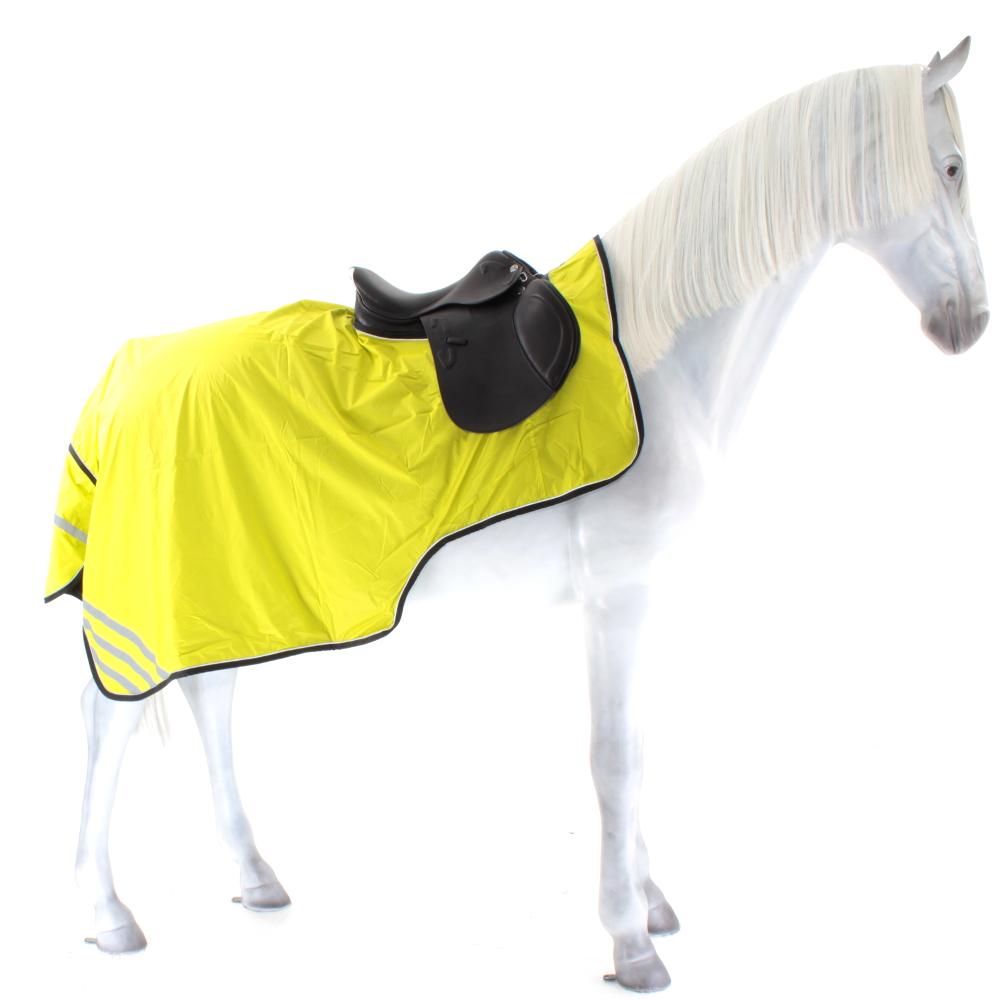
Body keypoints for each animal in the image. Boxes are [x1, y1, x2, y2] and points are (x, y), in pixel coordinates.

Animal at [62, 39, 987, 992]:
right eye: (953, 167)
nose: (969, 322)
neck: (658, 360)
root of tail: (126, 377)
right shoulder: (618, 599)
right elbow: (614, 760)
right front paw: (630, 942)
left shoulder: (638, 600)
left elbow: (639, 748)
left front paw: (650, 901)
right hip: (151, 600)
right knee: (109, 720)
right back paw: (109, 914)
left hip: (225, 582)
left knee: (212, 695)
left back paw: (252, 874)